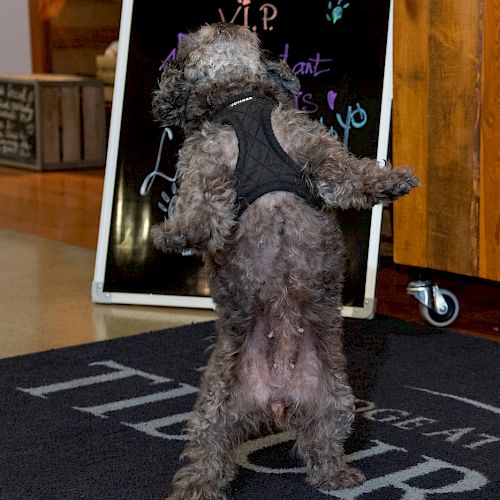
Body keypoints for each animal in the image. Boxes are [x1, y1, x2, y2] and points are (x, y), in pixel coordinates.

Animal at [149, 21, 418, 498]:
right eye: (196, 37)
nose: (225, 22)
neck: (240, 102)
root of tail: (277, 398)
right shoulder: (205, 172)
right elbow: (202, 215)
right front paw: (173, 232)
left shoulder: (316, 151)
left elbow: (357, 175)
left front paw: (394, 180)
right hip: (214, 409)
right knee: (208, 456)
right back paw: (195, 488)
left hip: (334, 401)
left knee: (320, 446)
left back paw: (337, 476)